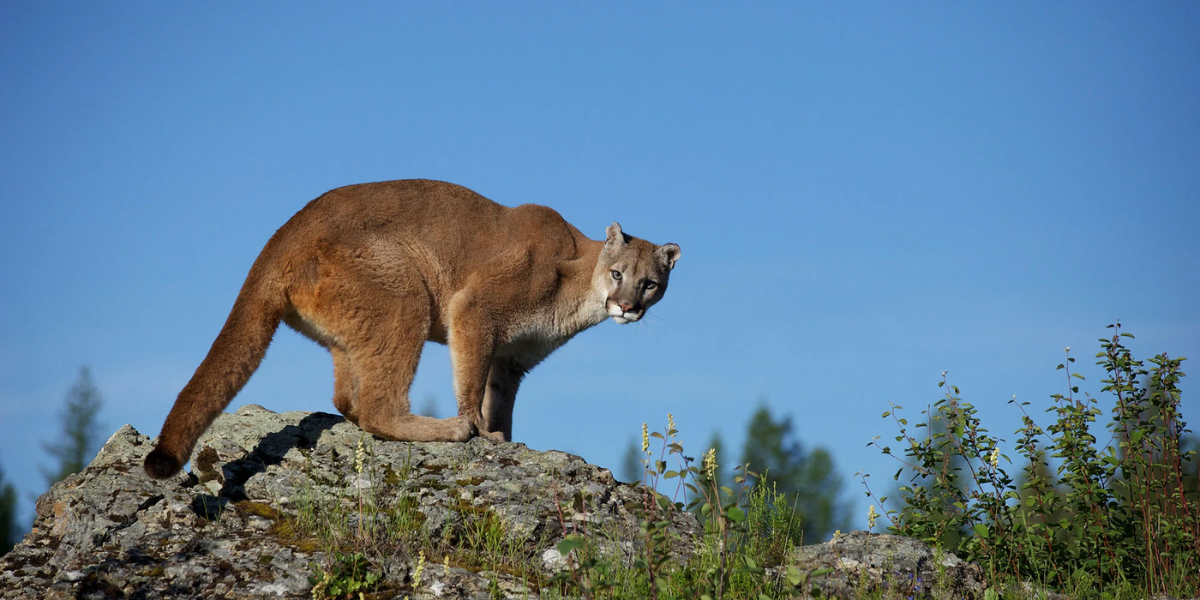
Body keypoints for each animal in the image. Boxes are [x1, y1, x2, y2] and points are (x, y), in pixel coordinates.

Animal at [142, 180, 676, 480]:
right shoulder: (474, 307)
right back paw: (448, 429)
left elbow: (498, 400)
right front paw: (479, 430)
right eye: (618, 274)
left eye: (650, 283)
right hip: (404, 295)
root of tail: (280, 237)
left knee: (349, 400)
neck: (579, 279)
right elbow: (470, 383)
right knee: (376, 408)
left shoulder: (512, 361)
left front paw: (503, 436)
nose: (628, 307)